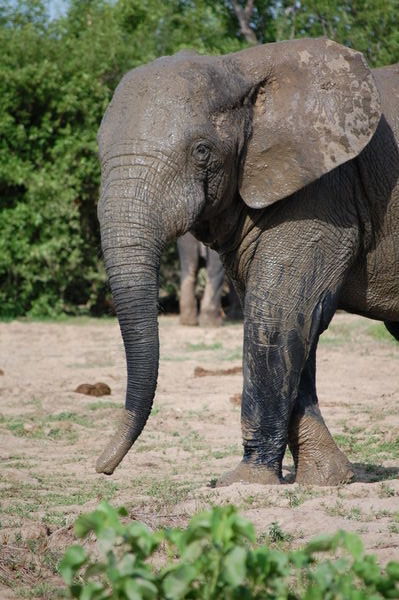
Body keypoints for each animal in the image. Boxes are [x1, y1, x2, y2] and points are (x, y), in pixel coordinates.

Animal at [96, 36, 399, 488]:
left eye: (202, 151)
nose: (103, 468)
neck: (238, 68)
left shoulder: (326, 192)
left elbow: (277, 311)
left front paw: (243, 481)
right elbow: (294, 323)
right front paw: (326, 480)